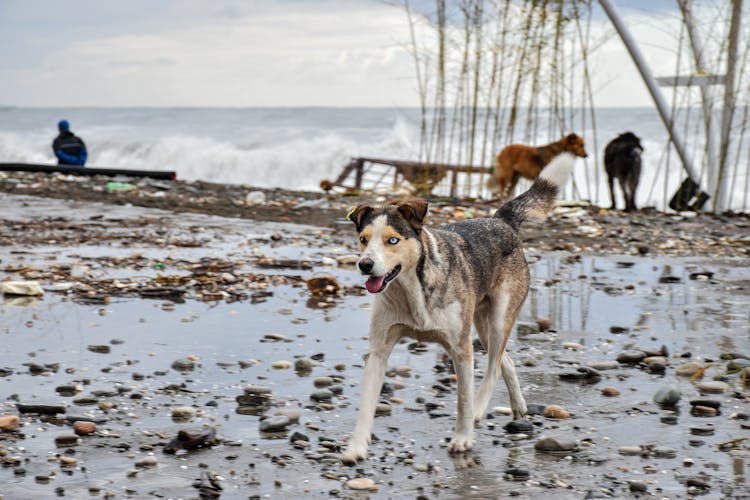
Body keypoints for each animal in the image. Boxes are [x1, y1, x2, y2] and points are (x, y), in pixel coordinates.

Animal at [344, 153, 580, 464]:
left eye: (392, 240)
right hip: (482, 323)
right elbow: (366, 404)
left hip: (499, 318)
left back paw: (480, 409)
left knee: (493, 368)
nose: (365, 265)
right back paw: (518, 406)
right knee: (506, 360)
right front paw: (356, 446)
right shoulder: (379, 351)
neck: (411, 289)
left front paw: (463, 438)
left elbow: (463, 400)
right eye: (363, 240)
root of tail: (500, 222)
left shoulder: (461, 347)